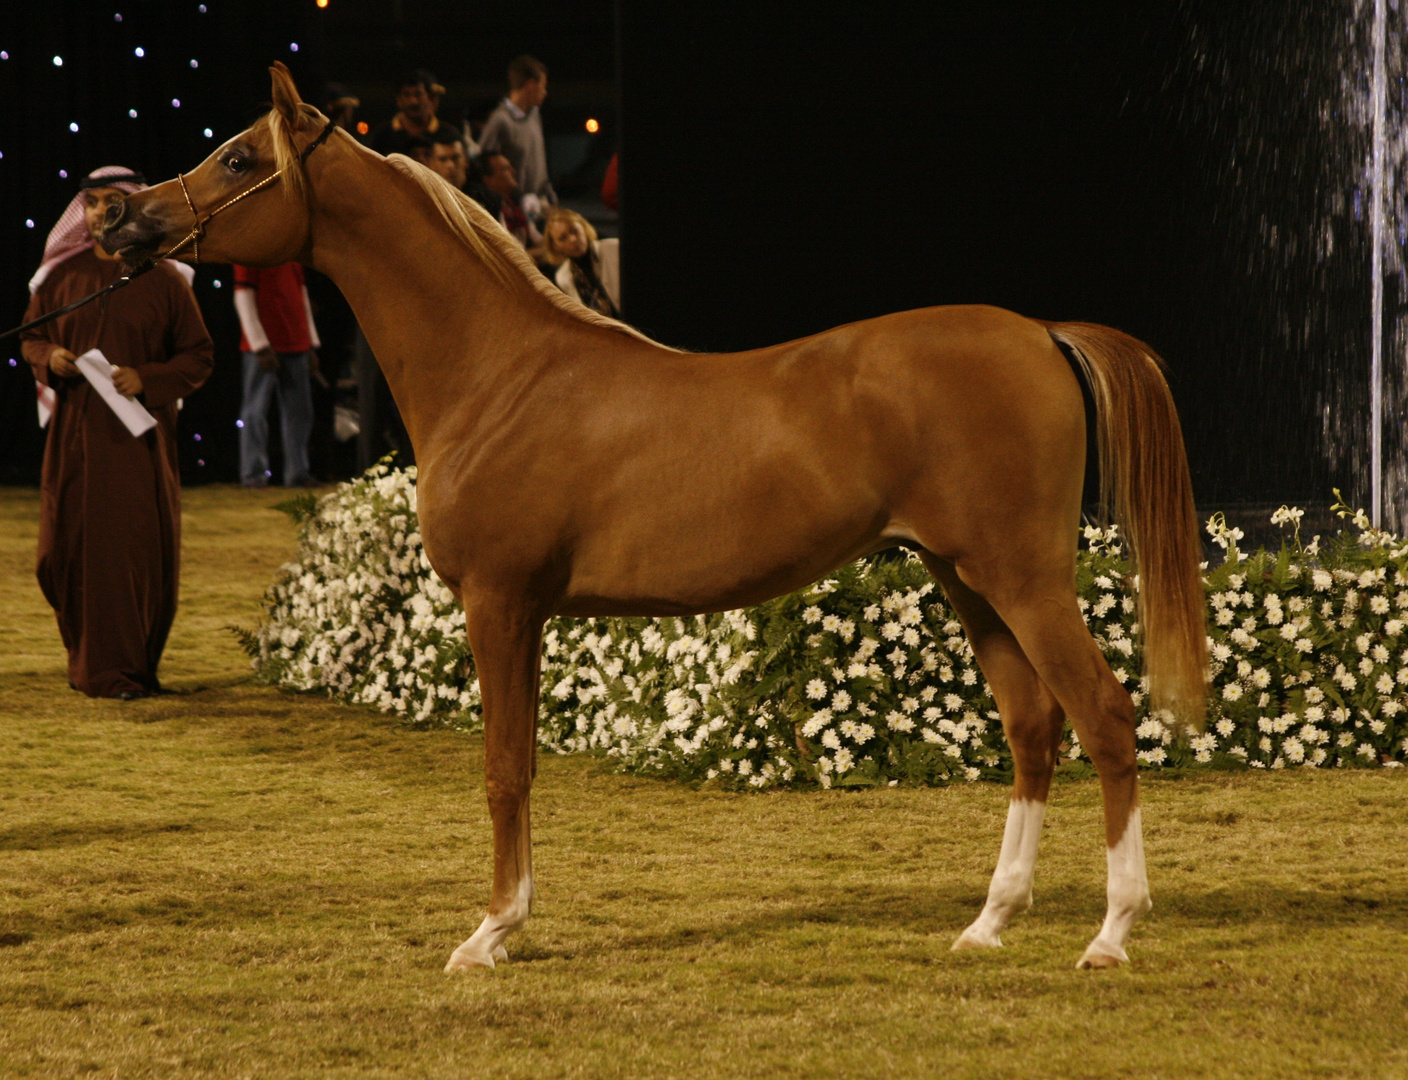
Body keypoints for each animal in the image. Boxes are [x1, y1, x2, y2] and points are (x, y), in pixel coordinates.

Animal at [104, 69, 1199, 980]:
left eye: (239, 158)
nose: (120, 216)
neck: (501, 372)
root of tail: (1042, 332)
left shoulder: (500, 605)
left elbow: (503, 769)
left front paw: (491, 934)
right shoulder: (525, 612)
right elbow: (517, 765)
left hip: (1021, 578)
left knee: (1106, 717)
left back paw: (1111, 934)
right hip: (964, 579)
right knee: (1032, 728)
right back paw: (989, 923)